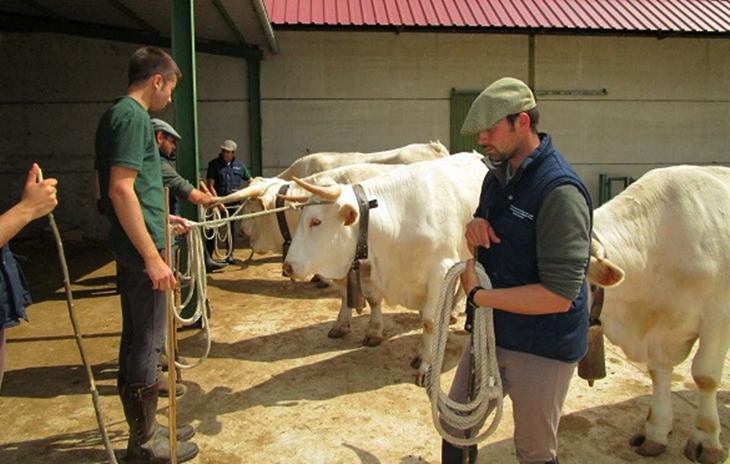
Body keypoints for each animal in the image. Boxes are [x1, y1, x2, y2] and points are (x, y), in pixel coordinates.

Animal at [213, 164, 400, 344]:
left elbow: (374, 299)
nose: (243, 232)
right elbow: (345, 294)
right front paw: (340, 324)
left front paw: (374, 331)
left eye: (252, 212)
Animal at [282, 152, 486, 384]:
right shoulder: (373, 269)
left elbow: (429, 319)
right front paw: (376, 333)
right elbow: (374, 301)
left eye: (316, 222)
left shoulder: (441, 269)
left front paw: (427, 364)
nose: (287, 266)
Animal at [584, 165, 728, 462]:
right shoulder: (657, 334)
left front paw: (706, 440)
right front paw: (656, 432)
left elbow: (706, 376)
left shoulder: (717, 318)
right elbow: (659, 373)